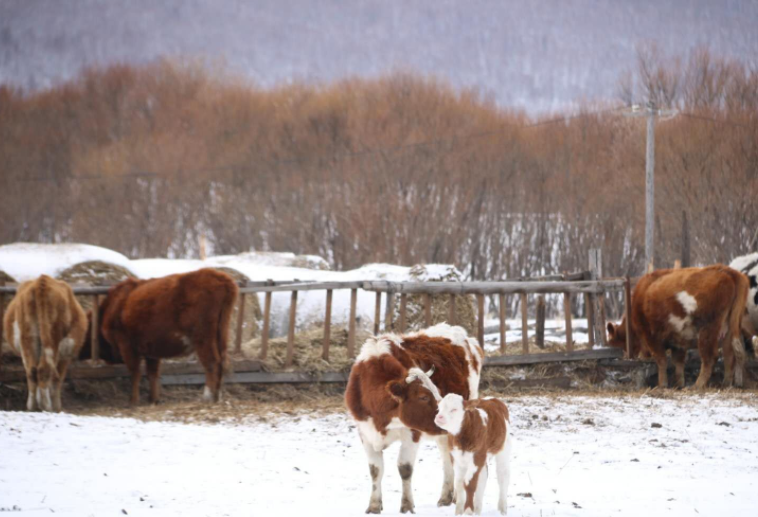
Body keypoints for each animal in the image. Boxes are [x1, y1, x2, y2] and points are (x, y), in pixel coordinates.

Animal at [2, 274, 87, 412]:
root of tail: (42, 281)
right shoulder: (65, 356)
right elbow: (58, 378)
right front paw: (57, 406)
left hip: (28, 337)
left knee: (32, 370)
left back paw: (32, 406)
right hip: (53, 338)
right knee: (44, 370)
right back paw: (47, 406)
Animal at [94, 268, 238, 406]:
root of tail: (220, 277)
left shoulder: (126, 345)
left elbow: (135, 372)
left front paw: (133, 401)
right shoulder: (150, 348)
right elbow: (152, 373)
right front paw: (153, 400)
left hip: (203, 338)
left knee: (212, 362)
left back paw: (208, 397)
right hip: (220, 335)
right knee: (220, 363)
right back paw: (217, 396)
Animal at [346, 322, 484, 512]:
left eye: (436, 391)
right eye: (423, 397)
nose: (442, 414)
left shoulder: (411, 432)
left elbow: (405, 468)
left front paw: (407, 505)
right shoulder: (365, 432)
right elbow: (375, 470)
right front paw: (373, 506)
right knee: (446, 455)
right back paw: (447, 496)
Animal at [608, 266, 752, 388]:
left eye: (616, 345)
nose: (615, 370)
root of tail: (727, 270)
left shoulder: (651, 336)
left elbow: (661, 360)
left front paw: (662, 384)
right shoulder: (678, 340)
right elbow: (678, 362)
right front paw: (679, 384)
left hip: (708, 329)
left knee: (710, 357)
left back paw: (698, 385)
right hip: (729, 330)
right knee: (730, 355)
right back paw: (726, 384)